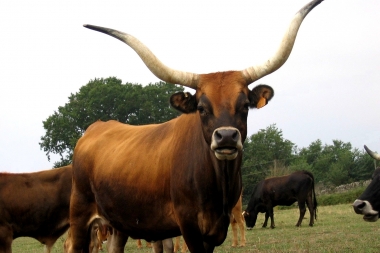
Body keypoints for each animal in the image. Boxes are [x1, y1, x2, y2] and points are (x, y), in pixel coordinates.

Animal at [66, 0, 326, 252]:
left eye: (244, 105)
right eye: (201, 108)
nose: (226, 137)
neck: (218, 184)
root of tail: (94, 128)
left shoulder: (216, 228)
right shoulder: (188, 224)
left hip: (119, 222)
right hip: (80, 214)